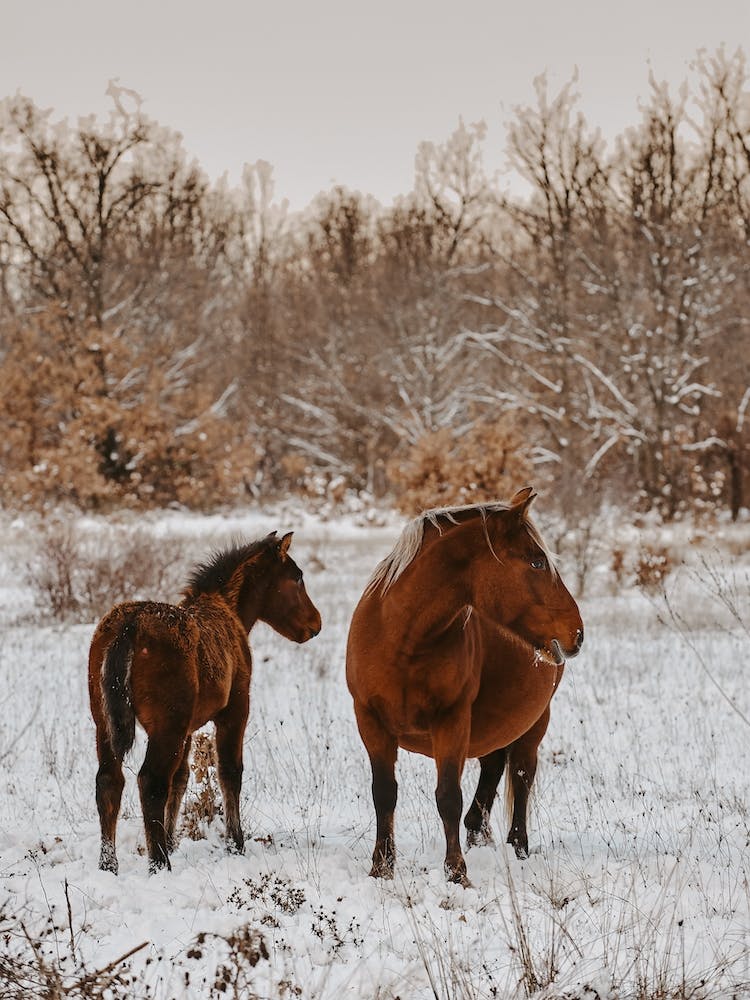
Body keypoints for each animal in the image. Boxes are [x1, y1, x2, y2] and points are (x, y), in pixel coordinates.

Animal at [88, 531, 321, 874]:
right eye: (297, 577)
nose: (315, 624)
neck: (232, 610)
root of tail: (128, 628)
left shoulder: (187, 727)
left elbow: (181, 779)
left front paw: (173, 839)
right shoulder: (235, 710)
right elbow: (230, 772)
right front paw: (235, 843)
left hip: (105, 723)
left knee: (110, 781)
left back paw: (109, 864)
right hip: (166, 725)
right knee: (151, 781)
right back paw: (159, 863)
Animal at [346, 487, 583, 885]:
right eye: (536, 562)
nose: (577, 633)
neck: (403, 641)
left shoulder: (451, 721)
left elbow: (448, 797)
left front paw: (457, 873)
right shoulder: (370, 721)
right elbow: (384, 793)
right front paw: (381, 867)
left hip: (534, 724)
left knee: (521, 776)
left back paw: (518, 847)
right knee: (493, 768)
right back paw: (477, 833)